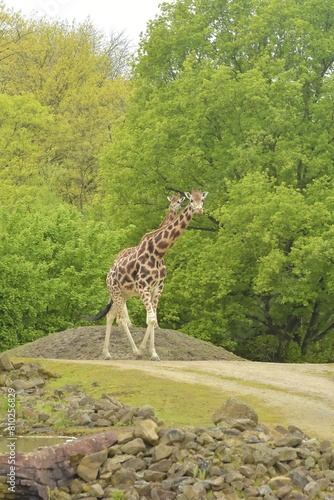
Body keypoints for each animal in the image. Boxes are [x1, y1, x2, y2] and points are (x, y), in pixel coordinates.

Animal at [86, 188, 207, 360]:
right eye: (190, 201)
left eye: (202, 200)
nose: (199, 210)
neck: (158, 251)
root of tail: (108, 274)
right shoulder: (144, 287)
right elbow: (150, 319)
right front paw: (143, 349)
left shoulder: (157, 288)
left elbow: (153, 319)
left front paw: (154, 353)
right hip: (116, 292)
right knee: (121, 319)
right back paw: (135, 350)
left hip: (123, 294)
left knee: (110, 316)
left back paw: (107, 353)